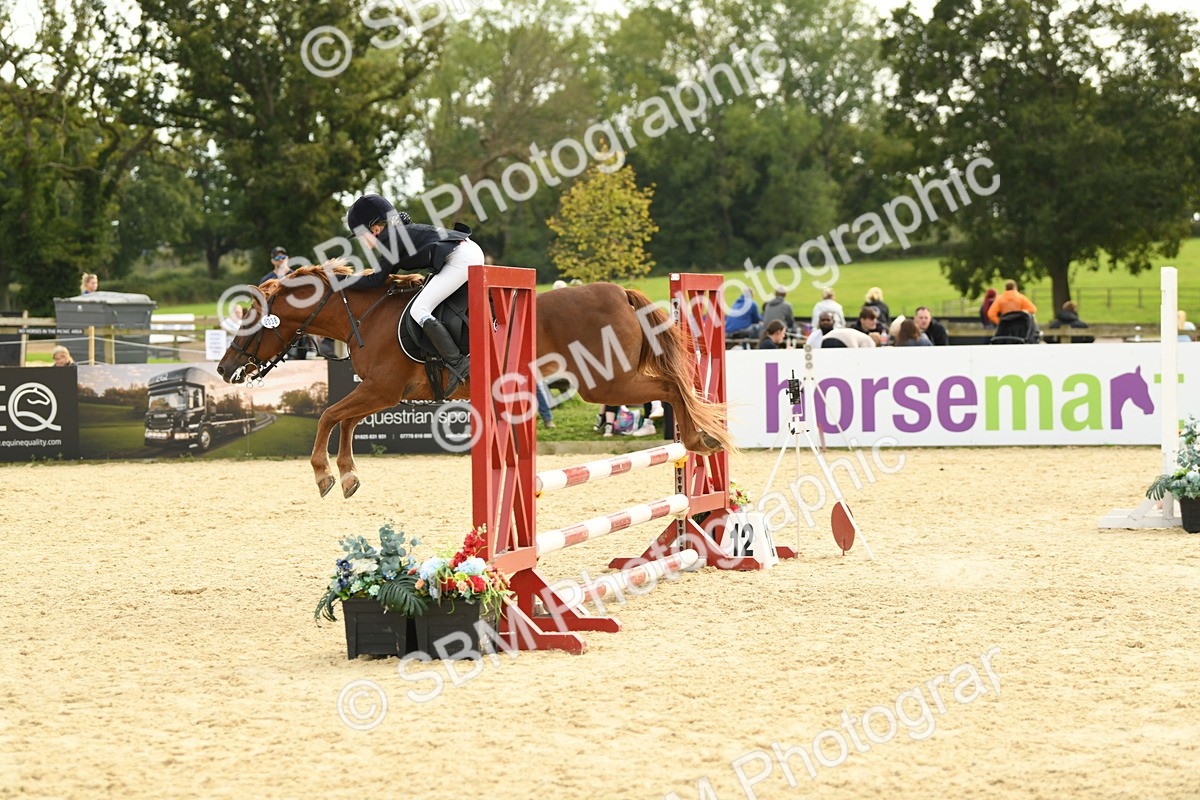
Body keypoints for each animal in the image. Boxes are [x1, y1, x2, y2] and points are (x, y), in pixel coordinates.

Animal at [216, 263, 734, 498]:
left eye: (249, 320)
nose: (224, 369)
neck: (364, 315)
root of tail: (620, 293)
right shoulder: (383, 395)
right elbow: (345, 422)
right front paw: (347, 475)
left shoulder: (380, 390)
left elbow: (327, 415)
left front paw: (325, 475)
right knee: (676, 389)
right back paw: (701, 440)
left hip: (605, 383)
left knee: (672, 390)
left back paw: (699, 438)